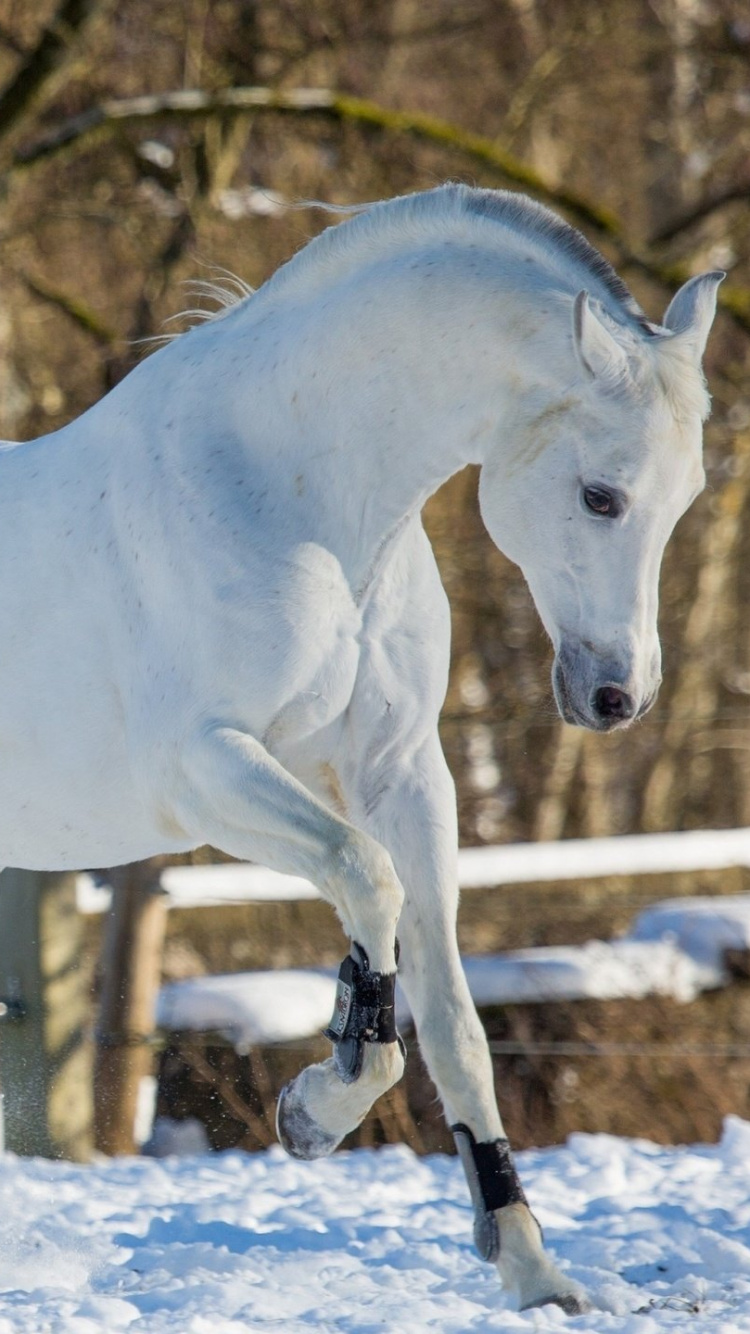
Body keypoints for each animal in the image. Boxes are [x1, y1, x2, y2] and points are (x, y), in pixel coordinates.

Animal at [0, 183, 721, 1314]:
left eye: (685, 500)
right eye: (600, 494)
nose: (617, 696)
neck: (287, 495)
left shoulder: (403, 775)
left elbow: (454, 1019)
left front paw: (531, 1270)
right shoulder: (206, 770)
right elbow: (365, 881)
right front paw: (314, 1106)